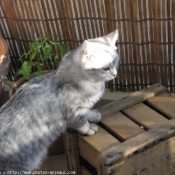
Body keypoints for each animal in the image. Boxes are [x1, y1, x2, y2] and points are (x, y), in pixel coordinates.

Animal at [0, 30, 119, 174]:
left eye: (116, 63)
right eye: (106, 68)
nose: (115, 74)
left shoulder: (82, 108)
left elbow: (87, 112)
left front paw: (94, 115)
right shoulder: (72, 114)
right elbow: (82, 123)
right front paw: (90, 128)